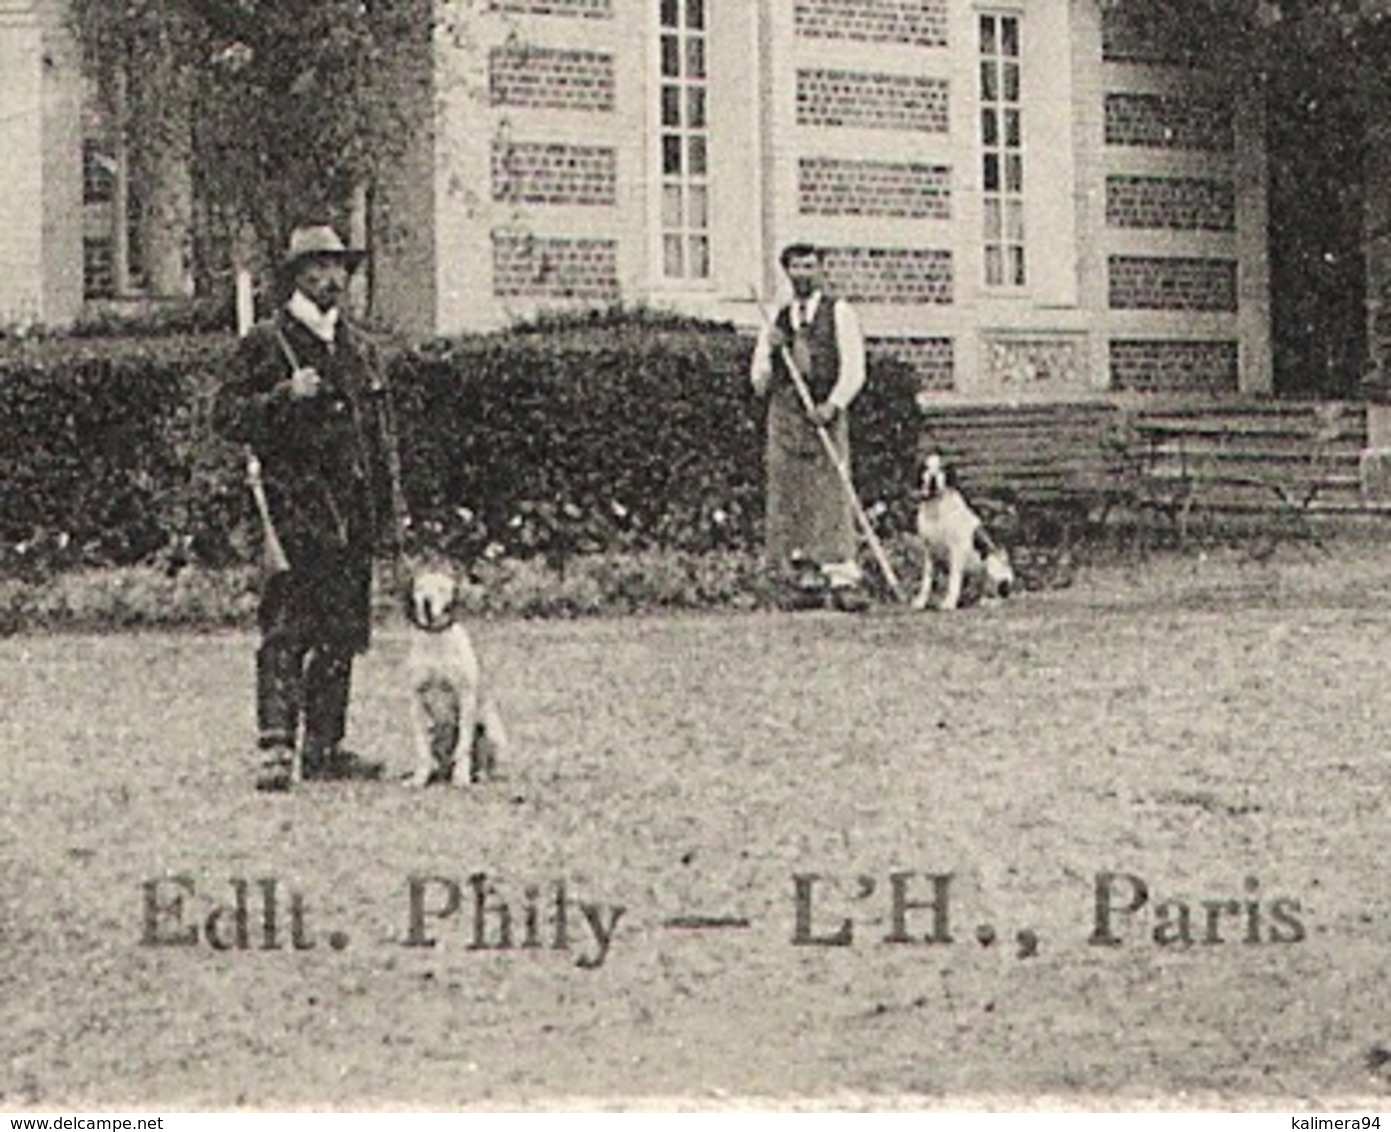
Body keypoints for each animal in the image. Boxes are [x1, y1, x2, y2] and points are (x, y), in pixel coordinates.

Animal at [406, 567, 509, 789]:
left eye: (442, 589)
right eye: (420, 588)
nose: (427, 603)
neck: (435, 638)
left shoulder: (465, 696)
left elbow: (463, 744)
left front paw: (461, 777)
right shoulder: (416, 700)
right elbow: (420, 748)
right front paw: (419, 779)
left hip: (491, 732)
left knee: (482, 758)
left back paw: (477, 775)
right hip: (435, 734)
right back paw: (439, 774)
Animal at [906, 453, 1018, 611]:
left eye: (942, 468)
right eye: (926, 467)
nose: (933, 479)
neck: (936, 507)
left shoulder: (956, 550)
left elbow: (953, 580)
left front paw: (948, 603)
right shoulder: (929, 551)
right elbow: (926, 580)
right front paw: (921, 602)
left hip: (992, 561)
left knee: (1001, 597)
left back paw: (989, 601)